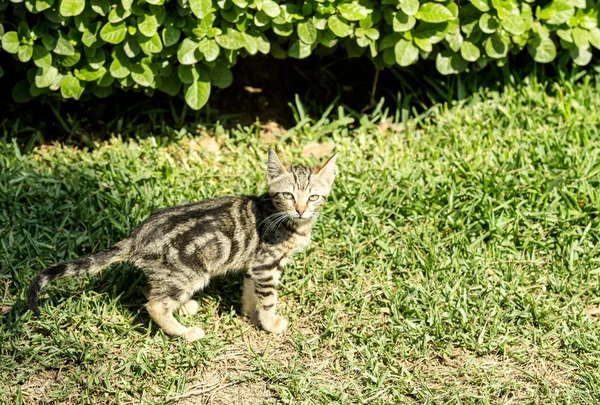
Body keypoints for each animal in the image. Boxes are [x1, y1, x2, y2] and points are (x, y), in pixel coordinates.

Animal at [28, 148, 338, 340]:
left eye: (313, 197)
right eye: (288, 195)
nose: (301, 210)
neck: (286, 221)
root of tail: (136, 235)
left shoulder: (254, 265)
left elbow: (251, 293)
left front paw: (250, 314)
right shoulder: (265, 265)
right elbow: (269, 298)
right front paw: (271, 323)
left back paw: (185, 307)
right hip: (189, 272)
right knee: (154, 304)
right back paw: (185, 332)